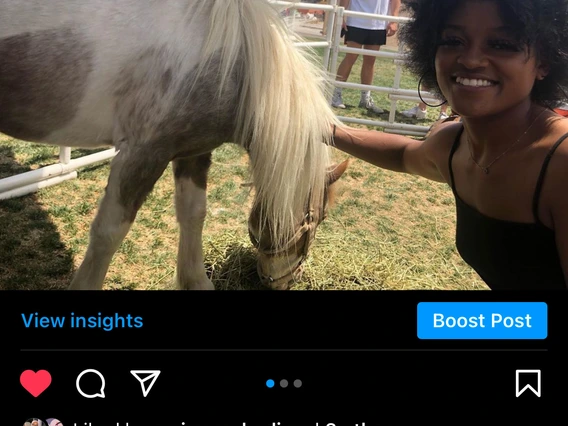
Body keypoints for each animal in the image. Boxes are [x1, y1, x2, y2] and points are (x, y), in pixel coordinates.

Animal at [0, 0, 348, 290]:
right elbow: (109, 232)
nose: (290, 279)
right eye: (317, 218)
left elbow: (194, 214)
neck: (232, 60)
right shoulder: (142, 154)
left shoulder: (193, 151)